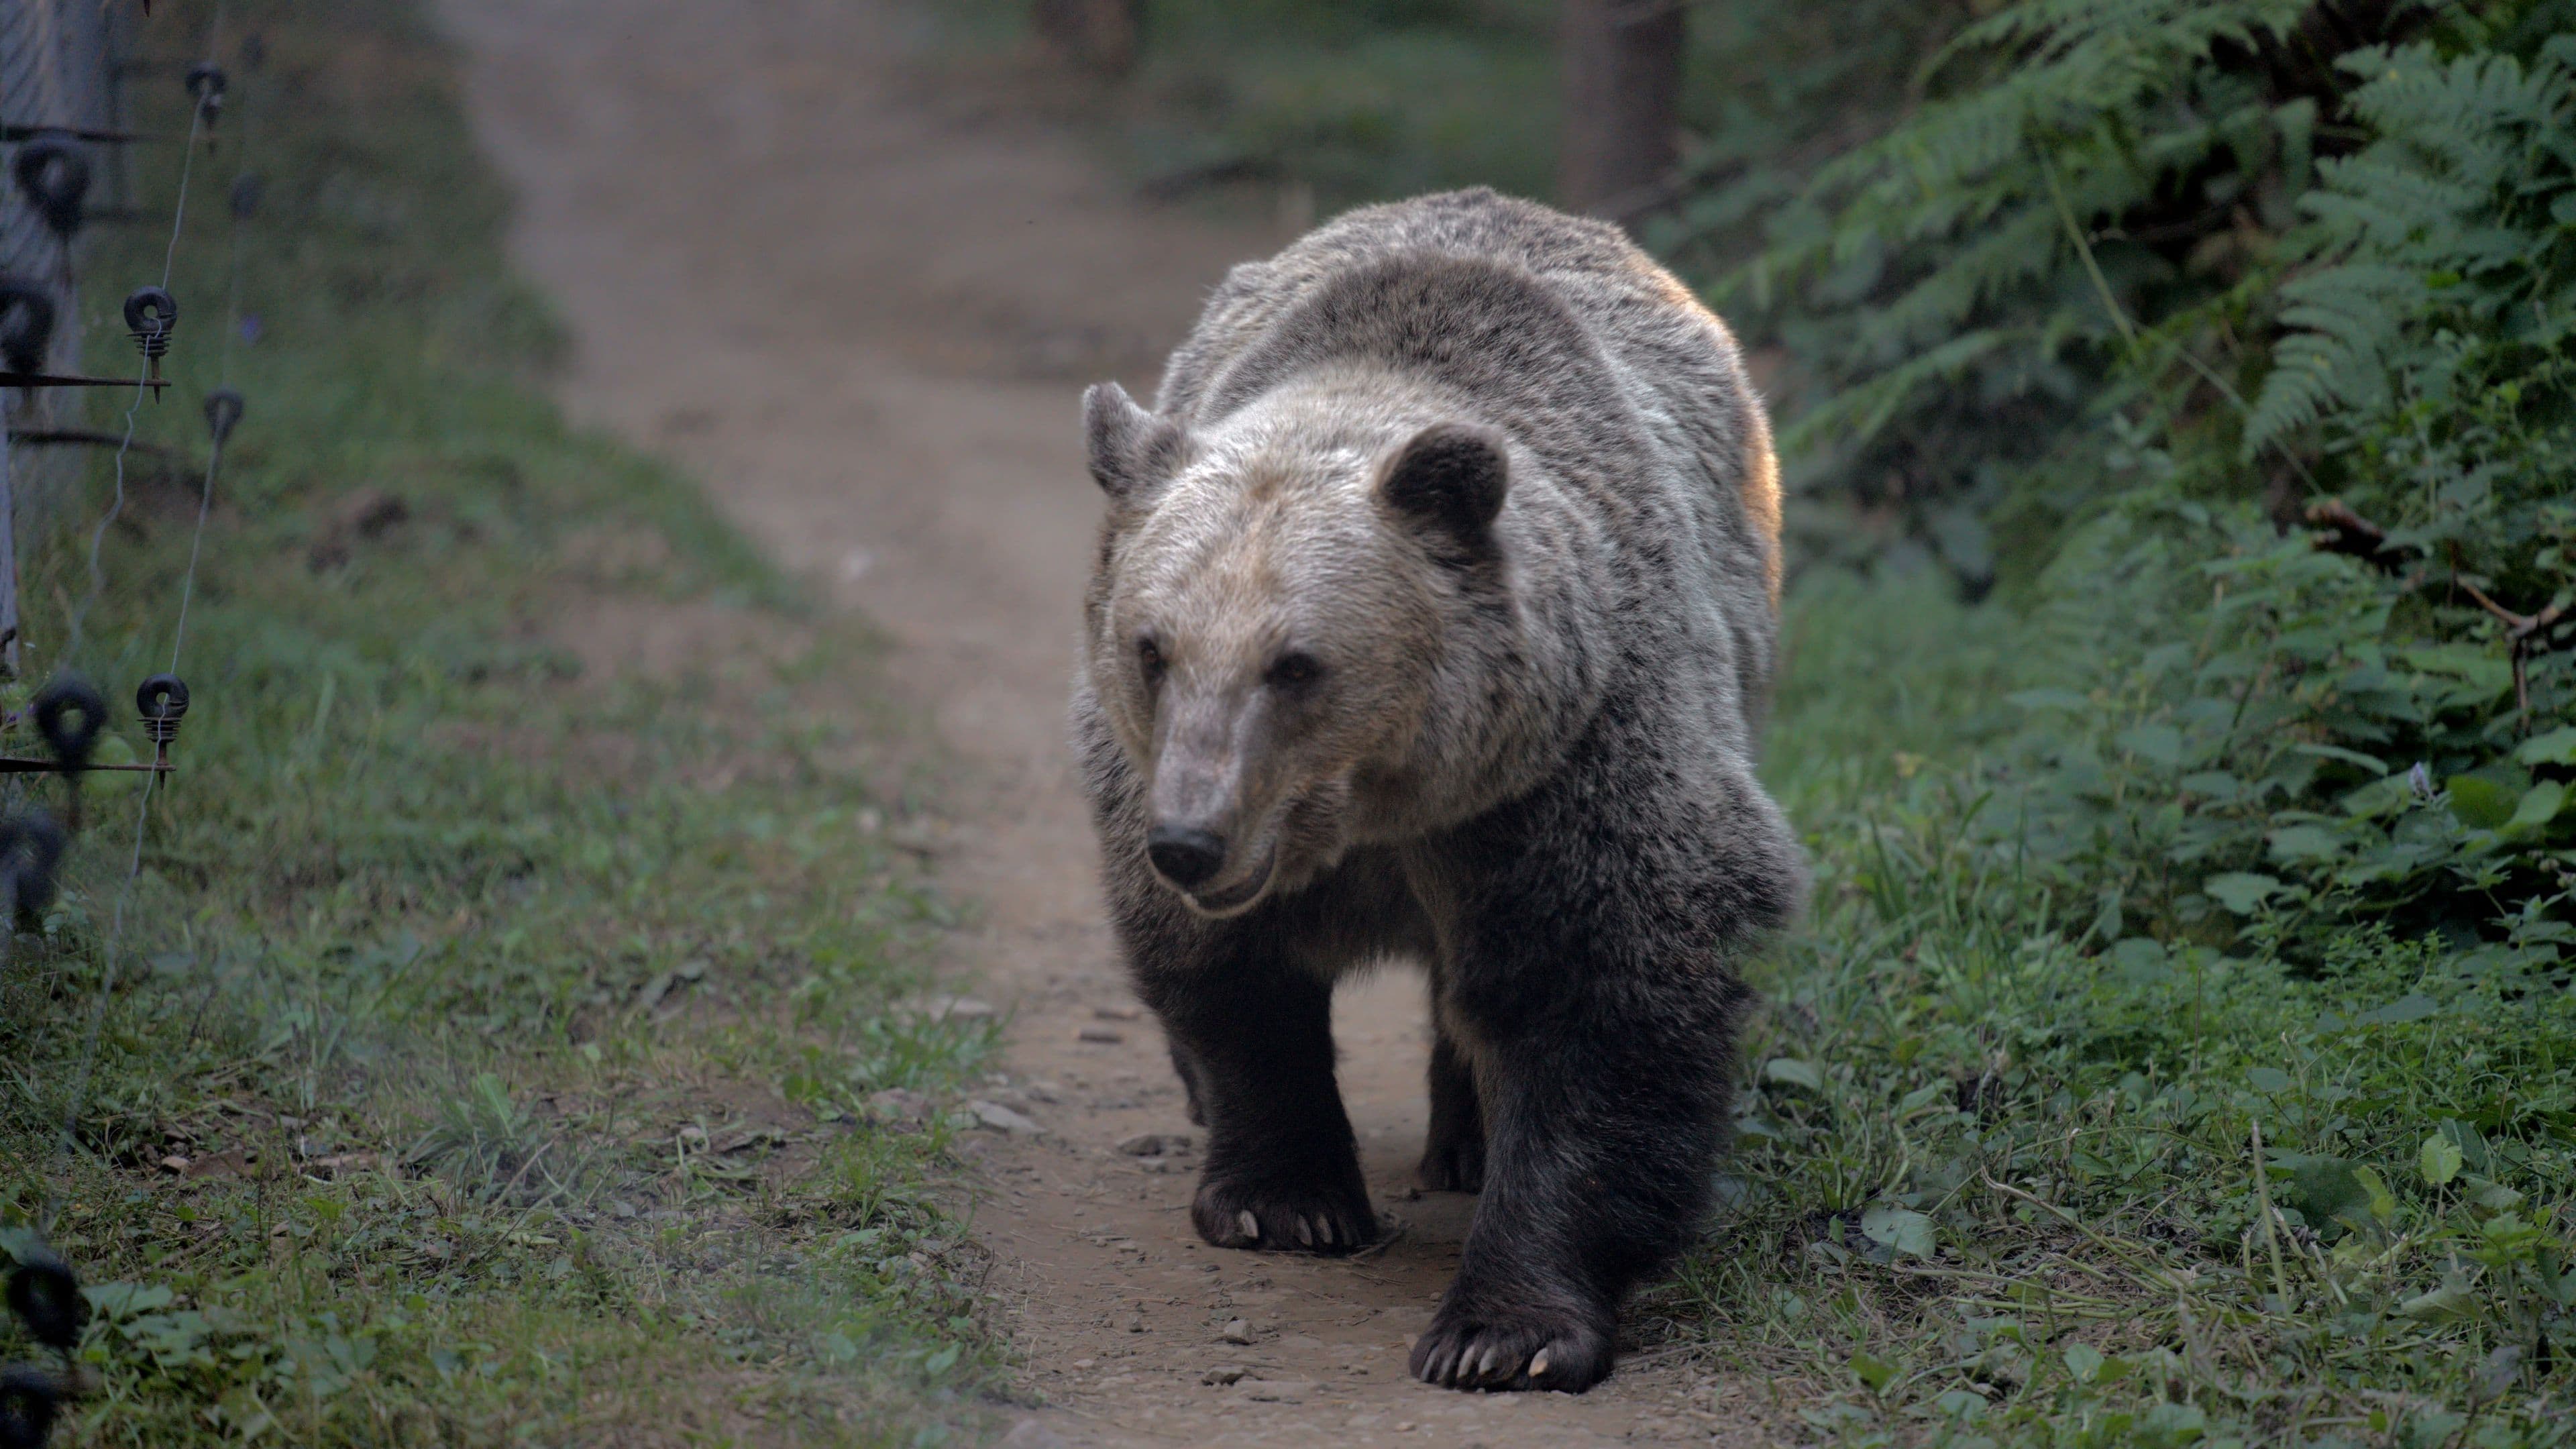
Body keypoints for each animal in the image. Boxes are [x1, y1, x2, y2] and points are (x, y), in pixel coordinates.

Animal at [1070, 187, 1806, 1394]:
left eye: (1297, 664)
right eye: (1153, 649)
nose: (1192, 841)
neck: (1382, 807)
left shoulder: (1574, 757)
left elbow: (1598, 982)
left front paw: (1505, 1329)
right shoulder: (1150, 781)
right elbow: (1234, 981)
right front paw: (1286, 1197)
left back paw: (1464, 1140)